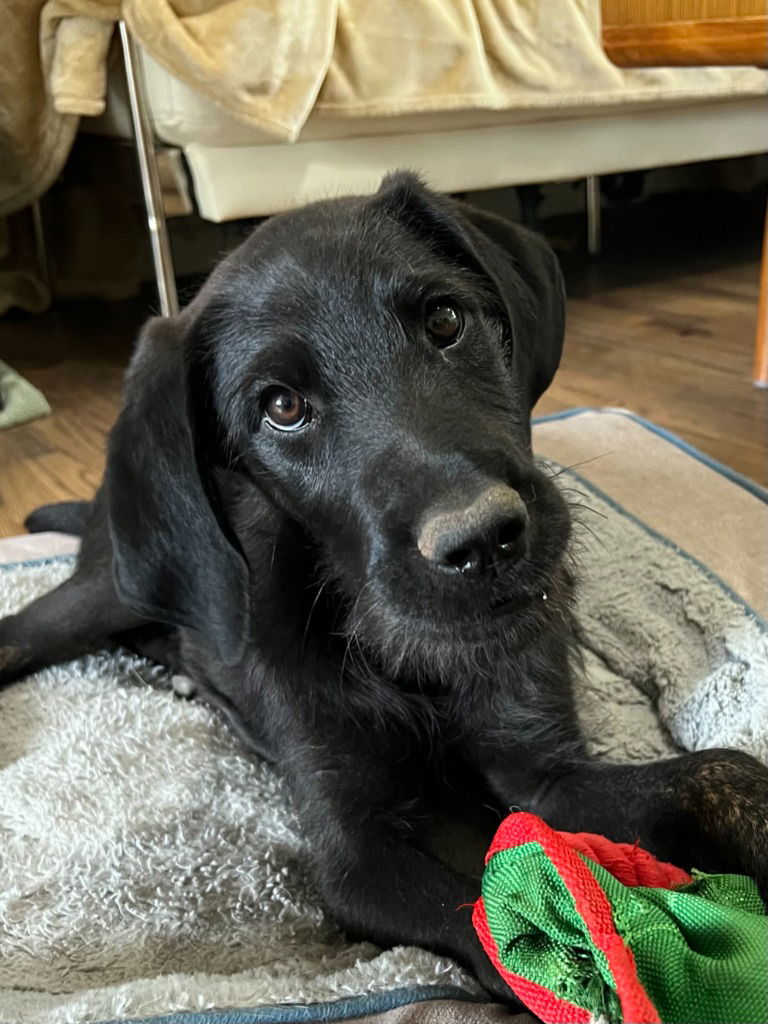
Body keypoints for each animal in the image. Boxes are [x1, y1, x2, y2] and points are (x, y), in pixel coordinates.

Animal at [1, 174, 768, 999]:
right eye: (281, 406)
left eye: (446, 320)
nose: (484, 540)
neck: (407, 660)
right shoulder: (354, 856)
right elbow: (491, 926)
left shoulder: (542, 771)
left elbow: (721, 770)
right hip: (102, 594)